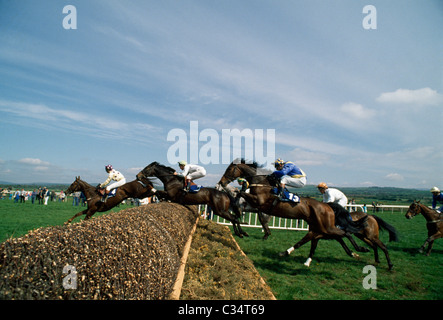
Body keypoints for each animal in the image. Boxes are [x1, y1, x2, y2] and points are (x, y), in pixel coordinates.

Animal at [220, 160, 398, 270]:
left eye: (229, 169)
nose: (221, 182)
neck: (262, 184)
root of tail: (326, 206)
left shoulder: (259, 202)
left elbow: (240, 195)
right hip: (321, 228)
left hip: (330, 228)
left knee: (348, 233)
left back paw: (365, 251)